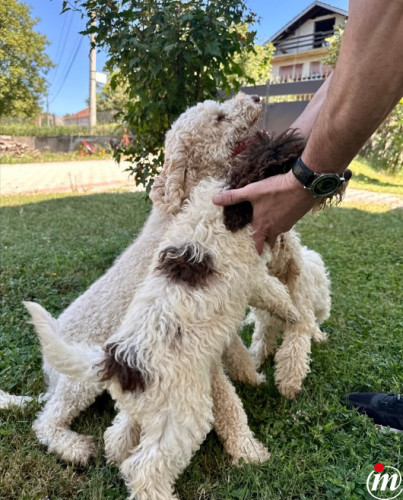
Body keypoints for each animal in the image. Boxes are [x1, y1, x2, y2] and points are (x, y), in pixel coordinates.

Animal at [28, 176, 298, 500]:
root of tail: (117, 362)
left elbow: (237, 351)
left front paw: (252, 376)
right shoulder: (249, 274)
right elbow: (273, 291)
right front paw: (293, 313)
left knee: (117, 438)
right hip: (174, 414)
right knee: (137, 465)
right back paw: (81, 450)